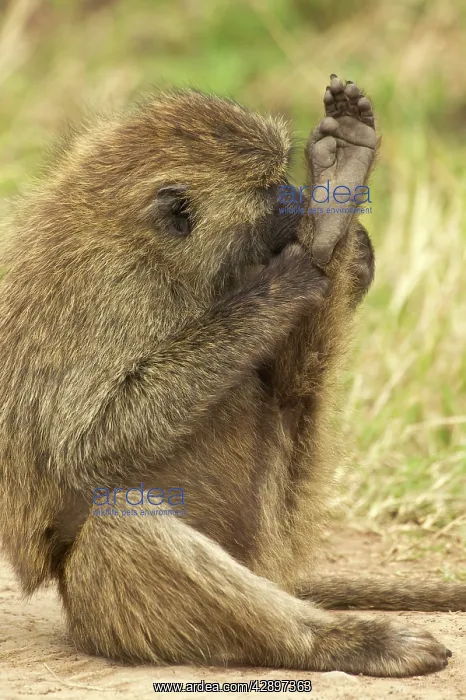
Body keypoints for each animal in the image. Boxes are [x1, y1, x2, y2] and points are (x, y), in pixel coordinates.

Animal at [0, 74, 464, 678]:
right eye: (270, 191)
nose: (300, 202)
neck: (153, 251)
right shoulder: (108, 292)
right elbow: (87, 444)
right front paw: (286, 278)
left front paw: (337, 216)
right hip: (109, 610)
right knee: (125, 521)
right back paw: (351, 643)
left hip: (269, 533)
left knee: (287, 396)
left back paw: (336, 202)